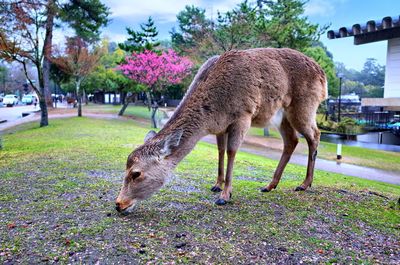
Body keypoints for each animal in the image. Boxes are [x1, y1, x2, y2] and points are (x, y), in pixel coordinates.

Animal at [114, 47, 326, 212]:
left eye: (136, 173)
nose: (118, 204)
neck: (212, 111)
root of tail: (323, 76)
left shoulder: (243, 115)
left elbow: (232, 151)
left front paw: (225, 195)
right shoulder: (220, 126)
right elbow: (220, 151)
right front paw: (216, 185)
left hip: (303, 106)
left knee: (315, 135)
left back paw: (304, 184)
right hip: (281, 116)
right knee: (292, 140)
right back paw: (269, 185)